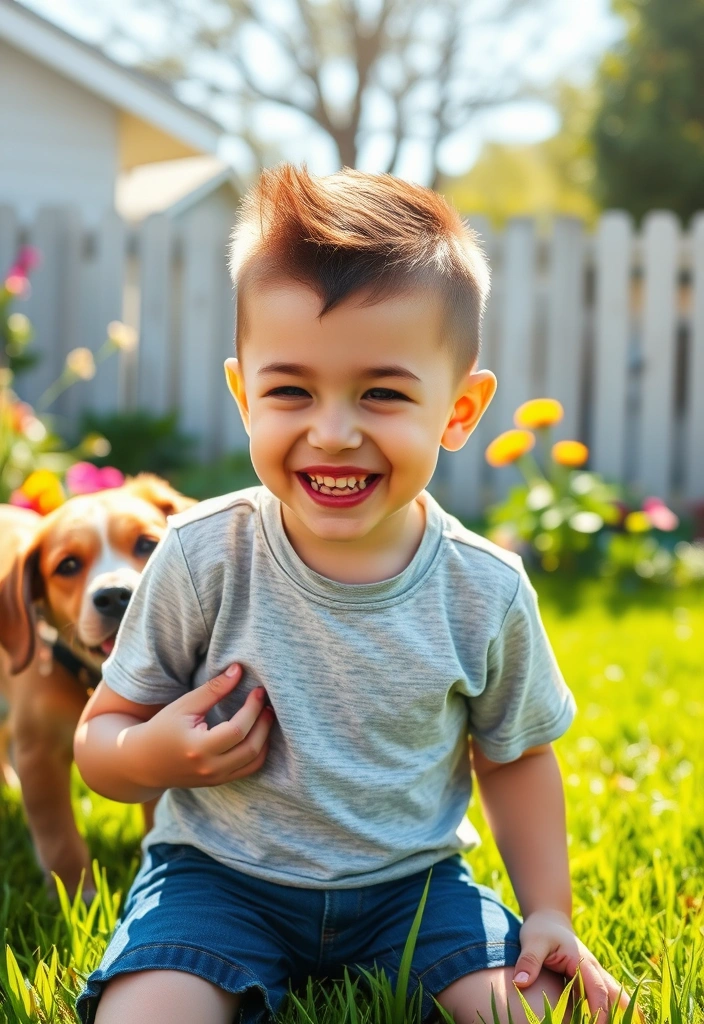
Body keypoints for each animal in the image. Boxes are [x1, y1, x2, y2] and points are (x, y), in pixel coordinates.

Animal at [0, 471, 195, 897]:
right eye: (68, 565)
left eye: (147, 544)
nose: (116, 596)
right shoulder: (40, 755)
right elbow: (59, 837)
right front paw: (78, 894)